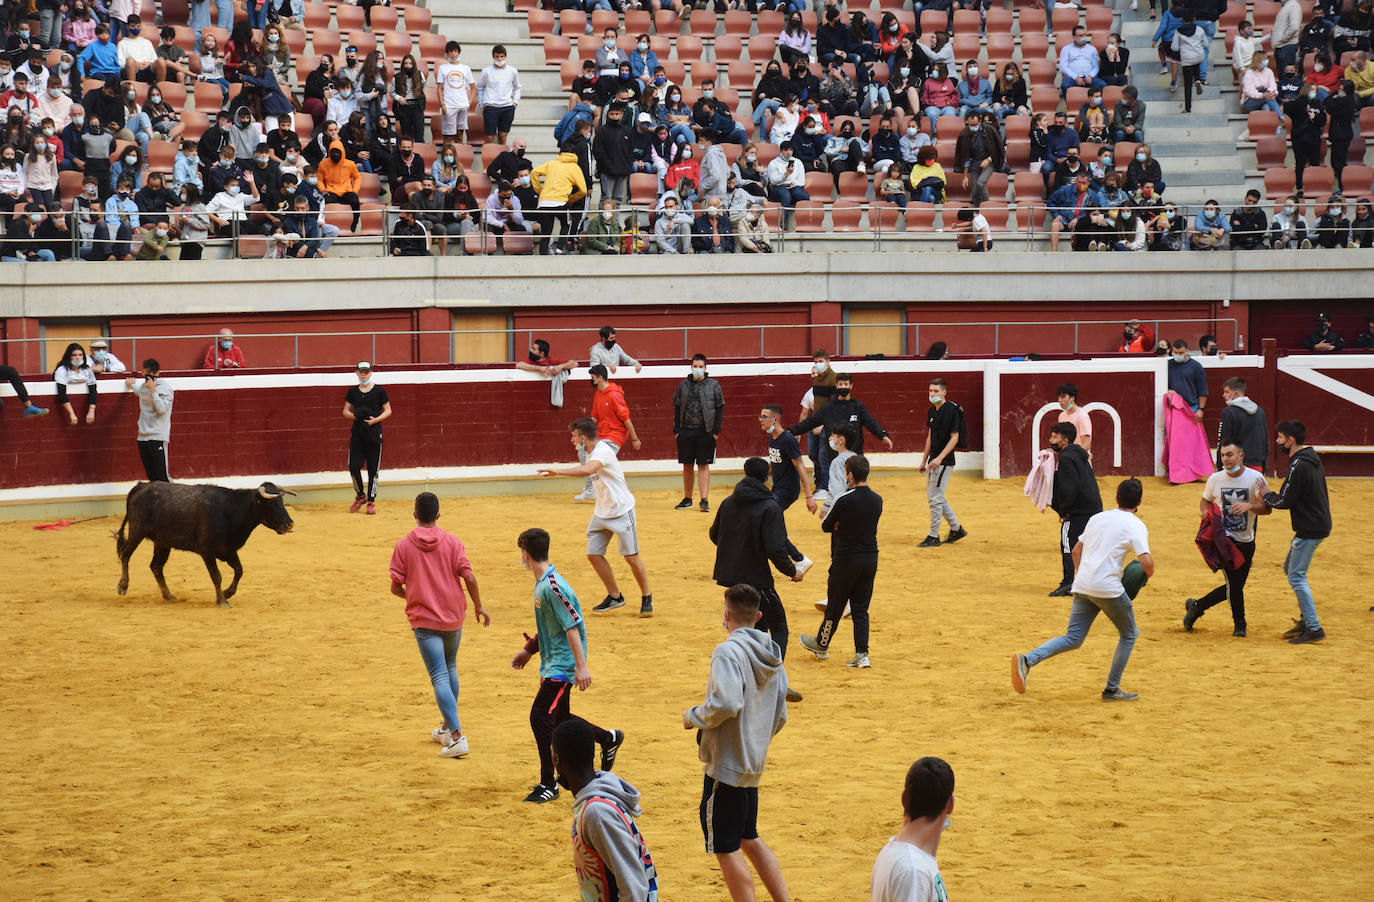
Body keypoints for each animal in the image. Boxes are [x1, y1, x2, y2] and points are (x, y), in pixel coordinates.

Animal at [116, 478, 296, 605]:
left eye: (281, 502)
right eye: (271, 504)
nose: (289, 524)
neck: (231, 510)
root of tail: (141, 486)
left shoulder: (228, 550)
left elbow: (239, 570)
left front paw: (227, 593)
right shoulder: (207, 552)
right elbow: (216, 576)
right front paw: (222, 601)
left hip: (162, 542)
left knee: (156, 566)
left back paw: (169, 595)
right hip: (137, 531)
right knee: (125, 554)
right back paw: (123, 586)